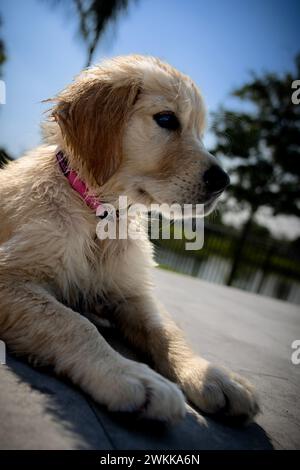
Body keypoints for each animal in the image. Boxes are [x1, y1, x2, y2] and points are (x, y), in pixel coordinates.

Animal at [0, 55, 258, 422]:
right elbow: (72, 323)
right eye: (166, 119)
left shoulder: (131, 292)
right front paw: (130, 376)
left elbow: (166, 329)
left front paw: (214, 375)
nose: (224, 181)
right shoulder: (10, 278)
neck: (100, 215)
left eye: (200, 132)